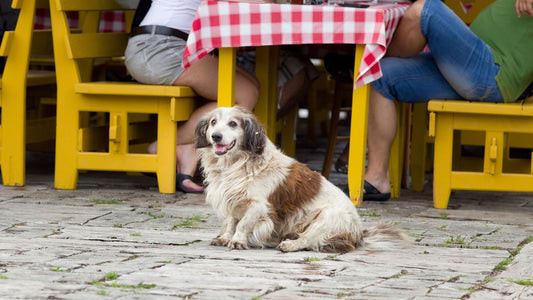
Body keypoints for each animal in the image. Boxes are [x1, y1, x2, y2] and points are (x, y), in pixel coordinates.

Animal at [194, 106, 408, 252]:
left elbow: (243, 223)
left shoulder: (258, 206)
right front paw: (225, 237)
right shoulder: (232, 199)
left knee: (309, 240)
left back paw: (289, 244)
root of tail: (358, 233)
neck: (236, 165)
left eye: (233, 123)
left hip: (324, 218)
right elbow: (231, 222)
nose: (216, 136)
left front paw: (237, 240)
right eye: (213, 122)